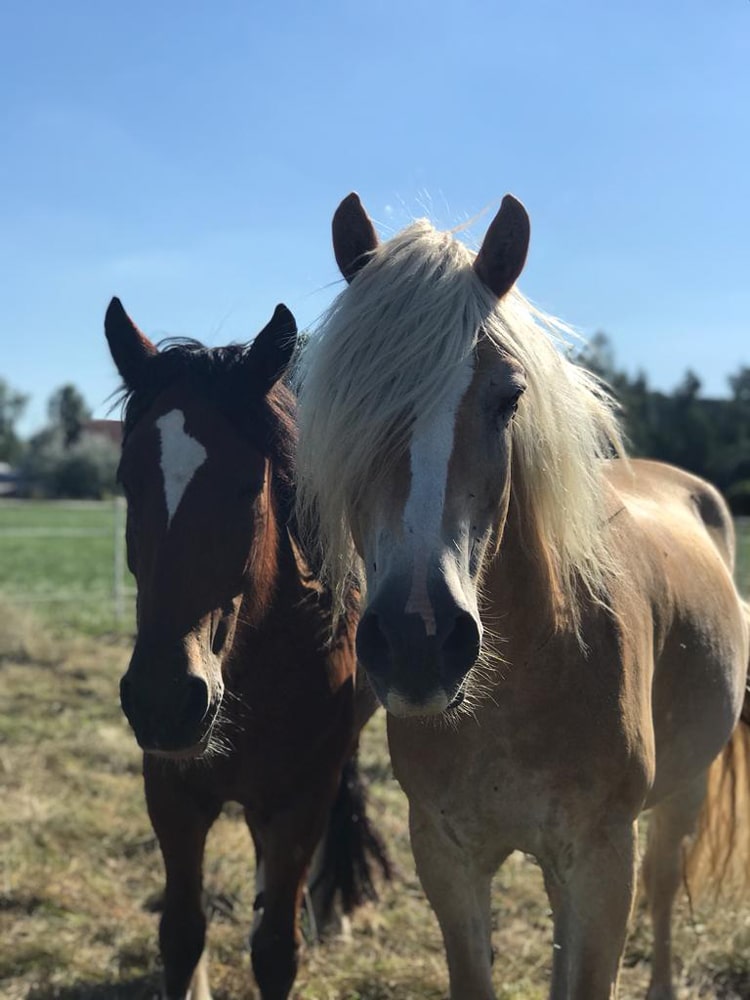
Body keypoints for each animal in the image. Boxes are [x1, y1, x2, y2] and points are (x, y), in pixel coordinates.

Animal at [104, 297, 389, 1000]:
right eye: (128, 481)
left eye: (244, 485)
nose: (163, 700)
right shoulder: (172, 795)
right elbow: (182, 936)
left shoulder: (297, 804)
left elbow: (275, 952)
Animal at [294, 193, 750, 999]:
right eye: (350, 401)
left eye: (509, 398)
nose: (418, 640)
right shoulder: (448, 860)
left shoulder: (600, 866)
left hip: (681, 796)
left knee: (666, 890)